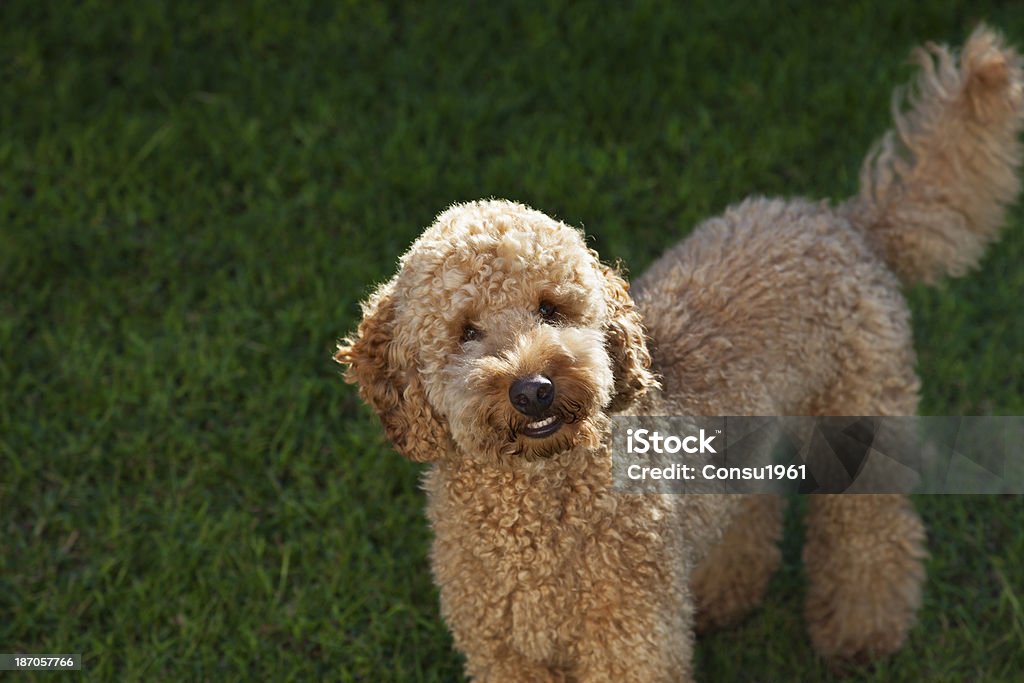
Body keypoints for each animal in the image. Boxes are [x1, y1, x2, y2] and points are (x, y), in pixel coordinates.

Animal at [337, 24, 1024, 679]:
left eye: (551, 309)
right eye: (466, 331)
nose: (534, 387)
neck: (539, 510)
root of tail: (848, 221)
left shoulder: (631, 644)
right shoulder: (503, 651)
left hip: (861, 418)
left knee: (871, 530)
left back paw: (863, 634)